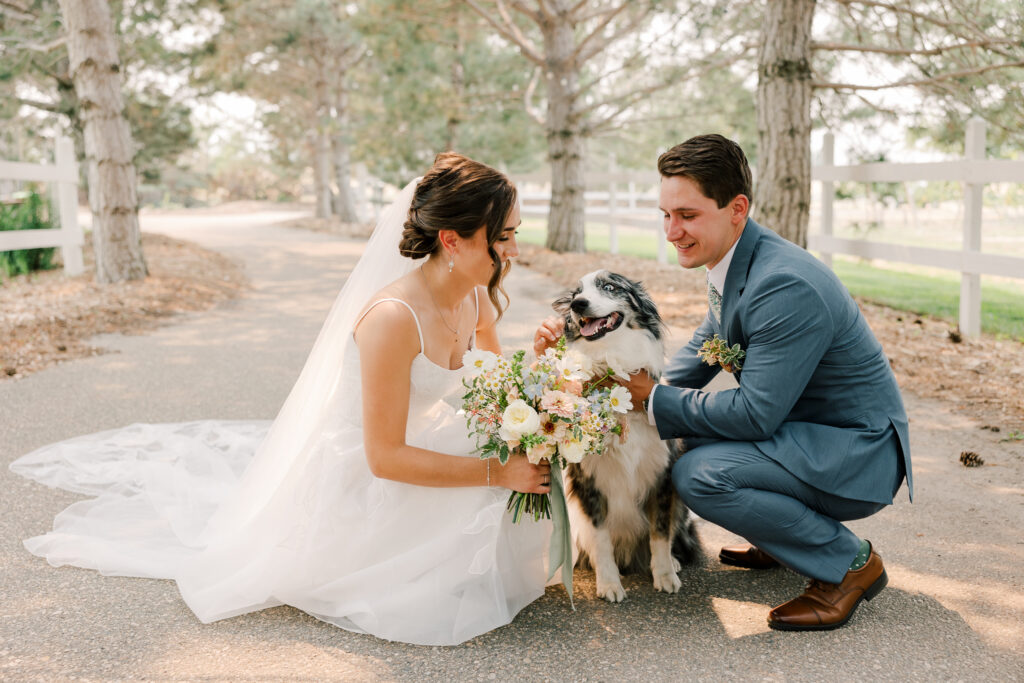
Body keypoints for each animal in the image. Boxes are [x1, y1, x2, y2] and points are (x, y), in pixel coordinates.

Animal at [552, 270, 704, 602]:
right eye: (576, 294)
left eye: (609, 287)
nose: (578, 305)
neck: (612, 356)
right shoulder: (589, 482)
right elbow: (601, 538)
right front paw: (609, 583)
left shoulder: (661, 476)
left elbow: (659, 533)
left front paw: (664, 574)